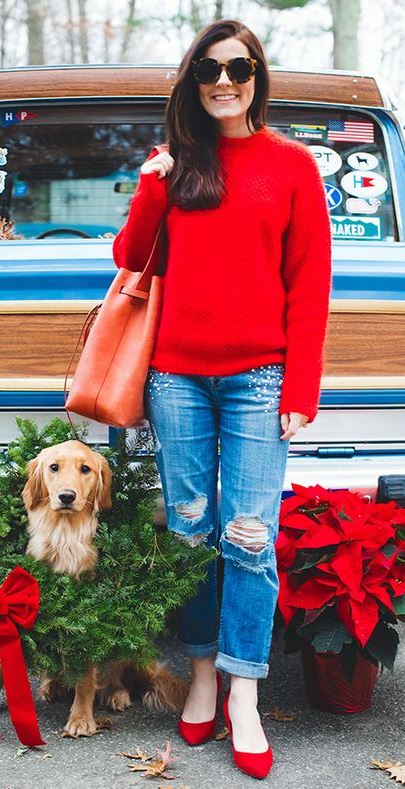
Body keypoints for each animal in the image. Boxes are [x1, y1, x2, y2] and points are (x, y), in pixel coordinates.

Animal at [0, 440, 189, 736]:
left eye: (85, 469)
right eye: (53, 467)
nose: (66, 496)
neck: (64, 535)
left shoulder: (91, 622)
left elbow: (86, 677)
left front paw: (80, 718)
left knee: (114, 673)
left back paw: (115, 693)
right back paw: (52, 686)